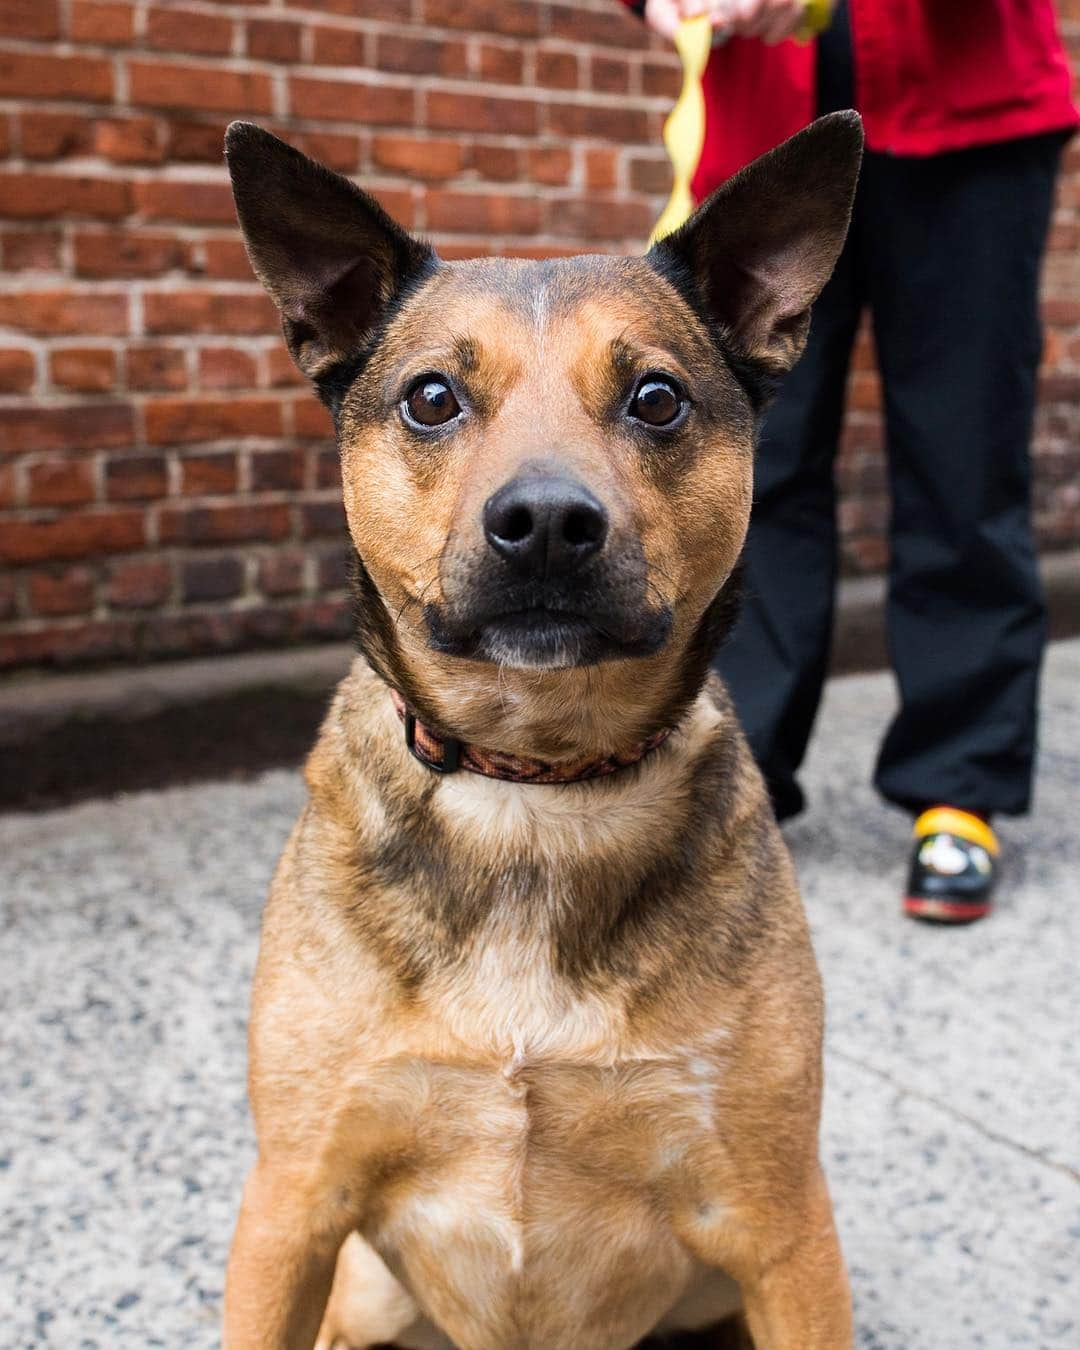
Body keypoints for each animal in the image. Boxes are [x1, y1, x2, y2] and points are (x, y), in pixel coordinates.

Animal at [224, 108, 864, 1350]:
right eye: (431, 398)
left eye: (657, 398)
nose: (549, 523)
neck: (533, 781)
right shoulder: (292, 1210)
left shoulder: (784, 1231)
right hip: (359, 1289)